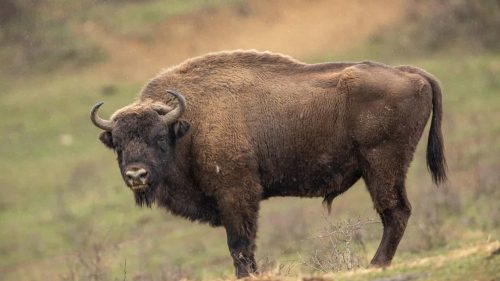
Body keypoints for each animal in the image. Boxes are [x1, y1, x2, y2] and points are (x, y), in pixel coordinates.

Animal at [89, 49, 446, 276]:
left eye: (159, 138)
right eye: (118, 144)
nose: (137, 175)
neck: (189, 124)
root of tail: (410, 73)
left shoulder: (236, 195)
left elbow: (239, 244)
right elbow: (245, 245)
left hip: (382, 165)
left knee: (395, 212)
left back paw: (375, 265)